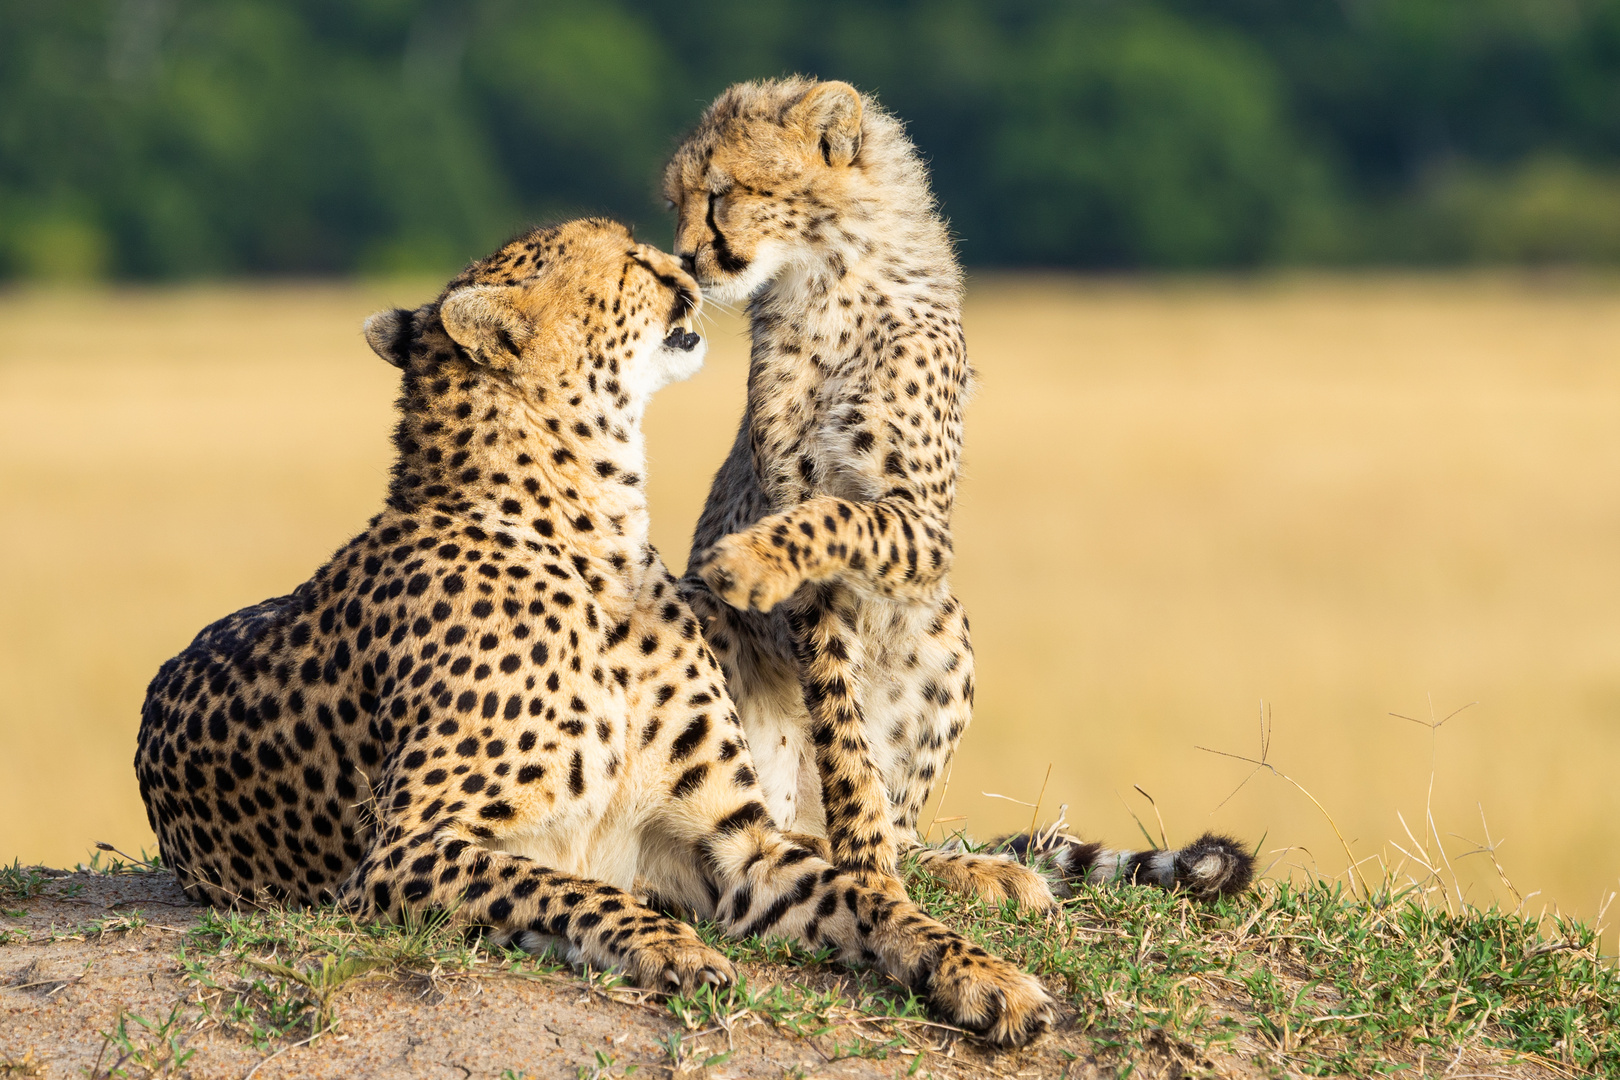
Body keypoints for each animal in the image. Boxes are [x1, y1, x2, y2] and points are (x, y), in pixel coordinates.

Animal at [132, 221, 1056, 1049]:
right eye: (626, 261)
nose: (684, 266)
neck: (590, 534)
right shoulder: (404, 851)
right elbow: (568, 889)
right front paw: (668, 946)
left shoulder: (736, 844)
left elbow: (863, 900)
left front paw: (982, 975)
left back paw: (995, 876)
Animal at [664, 78, 1257, 906]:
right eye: (678, 201)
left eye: (723, 193)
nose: (687, 259)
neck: (827, 284)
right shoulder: (803, 530)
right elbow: (838, 717)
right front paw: (866, 864)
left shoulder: (919, 522)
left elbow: (833, 514)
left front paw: (748, 561)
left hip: (944, 626)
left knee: (909, 830)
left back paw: (974, 868)